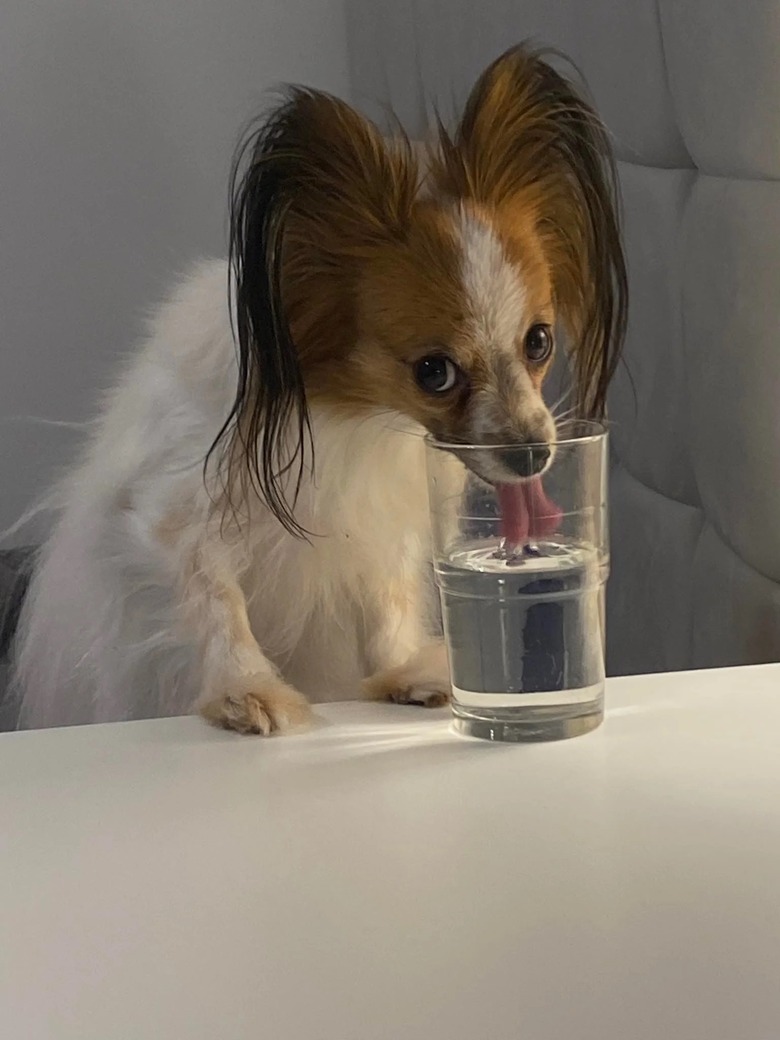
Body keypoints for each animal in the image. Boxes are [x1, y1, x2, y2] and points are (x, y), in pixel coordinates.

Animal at [12, 46, 628, 732]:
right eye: (434, 372)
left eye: (538, 342)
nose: (533, 454)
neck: (345, 413)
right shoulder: (170, 522)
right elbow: (214, 604)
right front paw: (246, 689)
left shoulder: (376, 527)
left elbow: (385, 603)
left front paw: (405, 670)